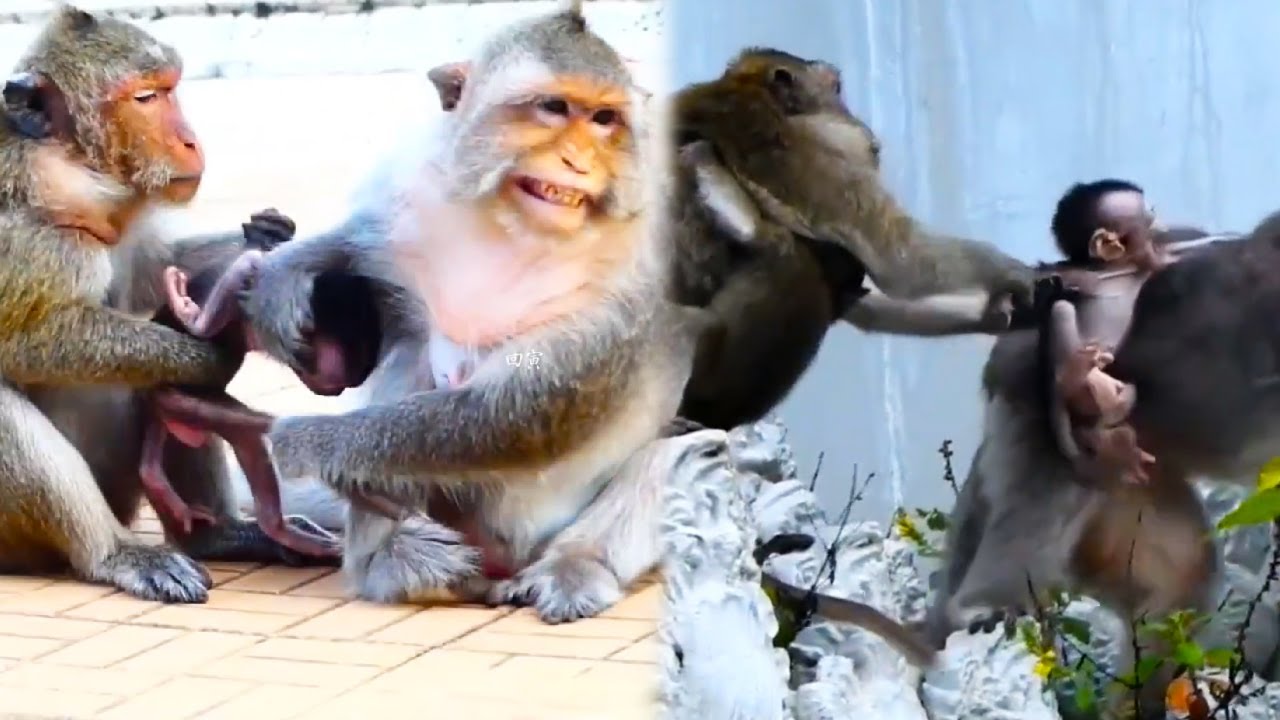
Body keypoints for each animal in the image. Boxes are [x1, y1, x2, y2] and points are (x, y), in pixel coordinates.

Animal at [0, 6, 349, 604]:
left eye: (169, 89)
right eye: (144, 98)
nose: (189, 141)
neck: (63, 171)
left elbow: (160, 272)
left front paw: (266, 240)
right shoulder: (29, 239)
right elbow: (30, 340)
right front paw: (207, 356)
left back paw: (222, 535)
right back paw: (114, 552)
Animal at [236, 0, 721, 623]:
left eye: (604, 119)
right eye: (554, 108)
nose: (579, 161)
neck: (514, 227)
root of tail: (502, 566)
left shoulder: (633, 280)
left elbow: (512, 413)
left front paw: (298, 440)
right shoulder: (415, 181)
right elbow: (366, 242)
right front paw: (284, 271)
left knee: (699, 456)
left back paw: (574, 568)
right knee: (410, 364)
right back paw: (404, 561)